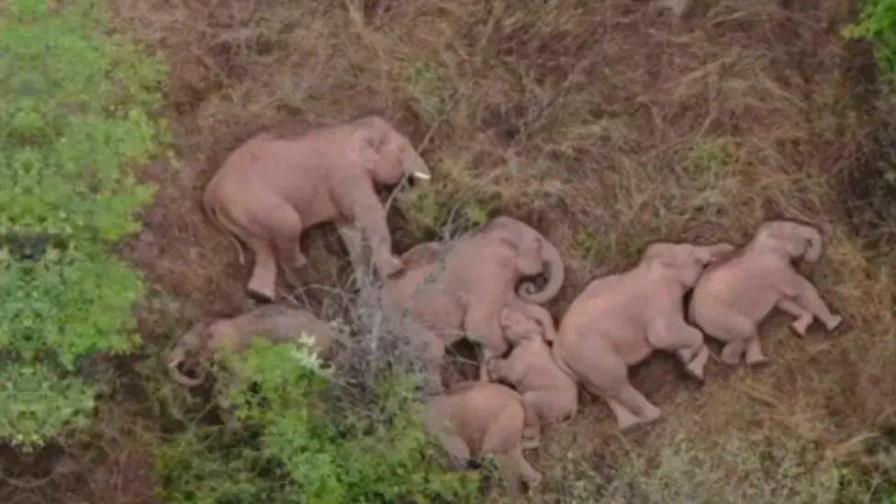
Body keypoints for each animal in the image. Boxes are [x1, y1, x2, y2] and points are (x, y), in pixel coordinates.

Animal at [203, 116, 431, 301]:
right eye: (402, 149)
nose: (404, 188)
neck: (352, 128)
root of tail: (211, 188)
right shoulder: (347, 175)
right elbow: (368, 214)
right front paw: (395, 269)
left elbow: (349, 229)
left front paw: (364, 290)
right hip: (254, 204)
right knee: (289, 226)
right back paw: (299, 266)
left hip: (238, 216)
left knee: (261, 247)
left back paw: (261, 296)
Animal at [381, 216, 565, 386]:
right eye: (538, 243)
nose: (529, 287)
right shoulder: (486, 277)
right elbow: (477, 328)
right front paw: (488, 368)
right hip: (407, 327)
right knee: (432, 353)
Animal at [487, 305, 577, 445]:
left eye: (522, 319)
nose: (504, 310)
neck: (528, 340)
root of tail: (573, 407)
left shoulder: (516, 367)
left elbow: (507, 371)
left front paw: (492, 368)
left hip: (536, 400)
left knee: (537, 433)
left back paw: (525, 435)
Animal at [553, 241, 734, 430]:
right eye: (693, 254)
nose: (729, 247)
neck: (650, 267)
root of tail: (557, 348)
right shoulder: (659, 304)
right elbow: (664, 337)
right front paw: (691, 366)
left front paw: (689, 364)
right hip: (595, 357)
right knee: (618, 383)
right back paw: (654, 414)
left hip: (583, 368)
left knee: (606, 391)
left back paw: (630, 424)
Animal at [689, 220, 843, 366]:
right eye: (792, 229)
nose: (807, 257)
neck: (759, 241)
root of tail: (692, 315)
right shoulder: (777, 270)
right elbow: (805, 290)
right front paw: (836, 323)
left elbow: (784, 302)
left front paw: (797, 329)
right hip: (720, 318)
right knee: (746, 331)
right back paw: (735, 362)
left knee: (751, 331)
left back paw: (758, 362)